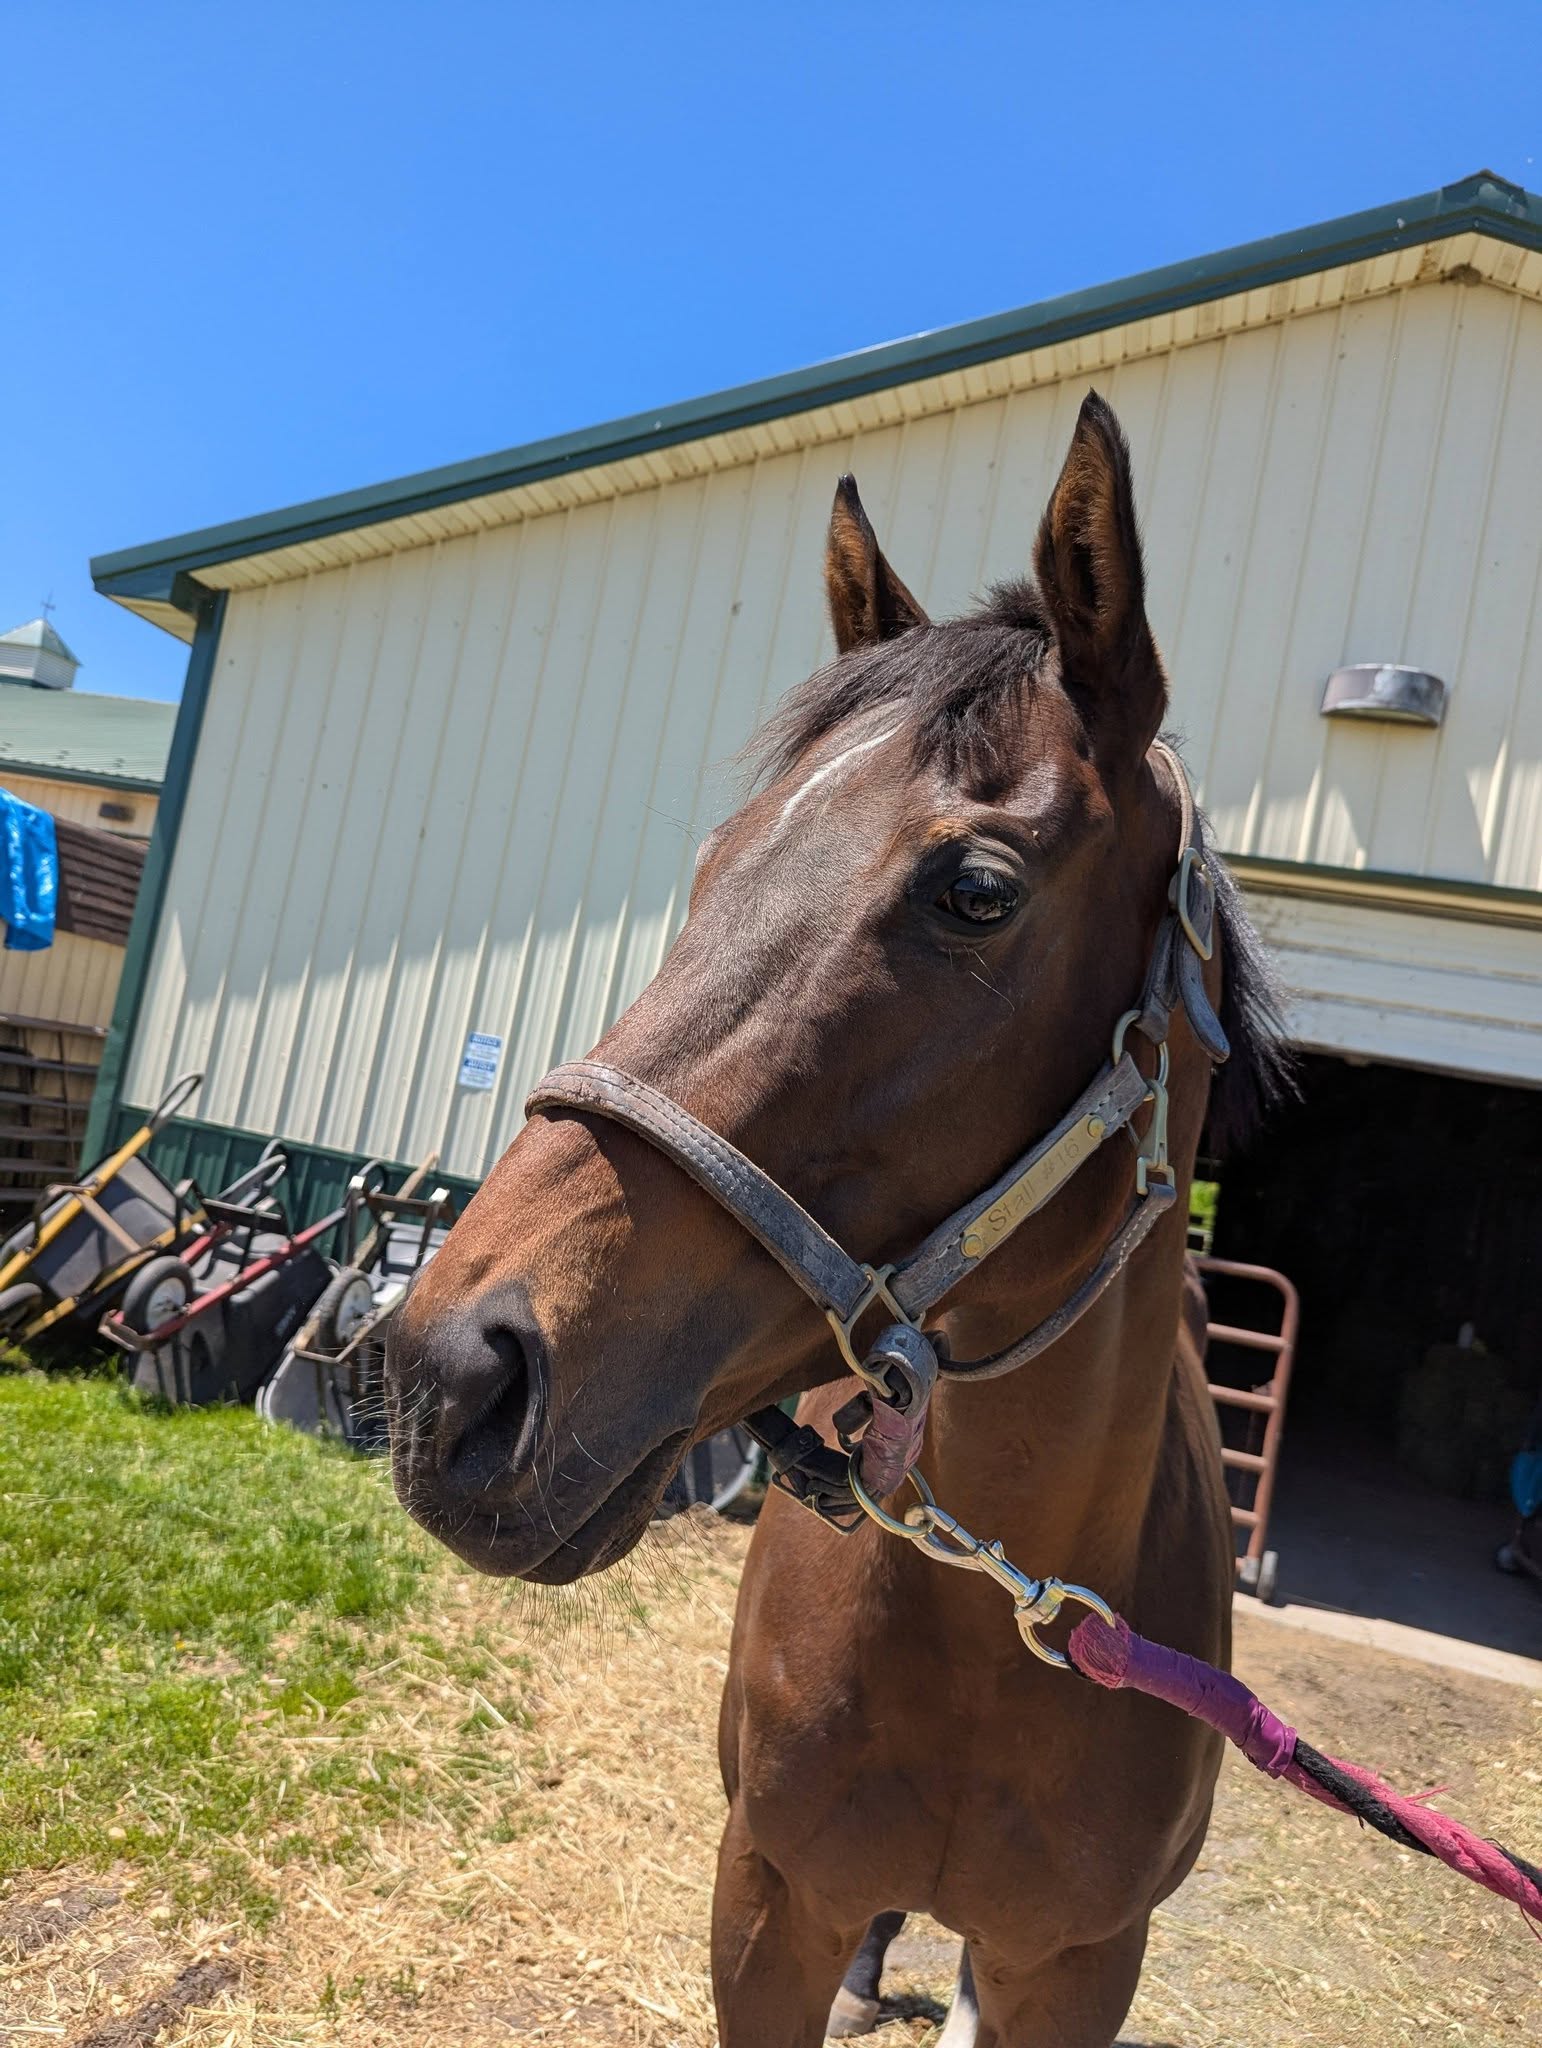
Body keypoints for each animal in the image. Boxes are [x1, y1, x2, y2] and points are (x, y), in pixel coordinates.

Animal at [386, 391, 1288, 2046]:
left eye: (978, 889)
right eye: (711, 865)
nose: (448, 1373)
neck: (1002, 1628)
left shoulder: (1078, 1967)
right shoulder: (767, 1907)